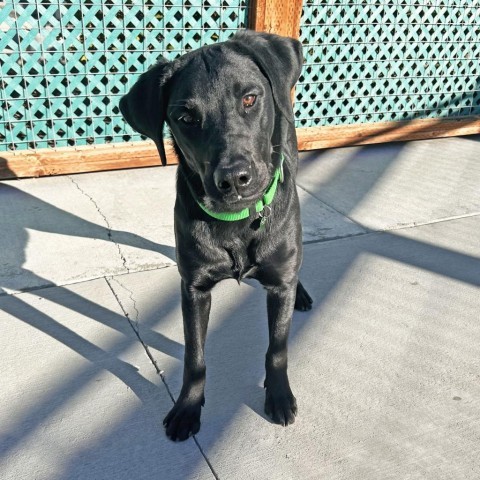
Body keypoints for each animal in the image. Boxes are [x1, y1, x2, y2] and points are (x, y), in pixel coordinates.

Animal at [121, 31, 312, 442]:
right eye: (185, 118)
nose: (234, 178)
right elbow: (194, 356)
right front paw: (188, 407)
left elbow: (278, 348)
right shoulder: (193, 288)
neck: (238, 222)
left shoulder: (278, 283)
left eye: (250, 98)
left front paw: (279, 395)